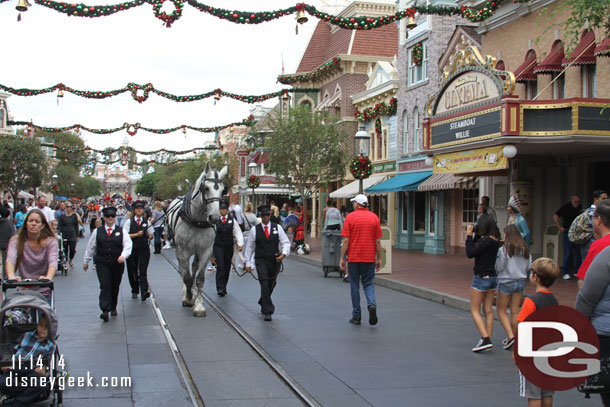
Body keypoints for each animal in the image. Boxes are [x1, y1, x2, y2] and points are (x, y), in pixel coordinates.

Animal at [165, 164, 227, 318]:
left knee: (193, 267)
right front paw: (188, 298)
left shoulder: (205, 251)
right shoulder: (183, 251)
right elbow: (186, 276)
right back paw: (187, 294)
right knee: (183, 271)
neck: (197, 220)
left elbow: (199, 278)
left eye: (223, 190)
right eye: (206, 188)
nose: (215, 217)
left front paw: (198, 305)